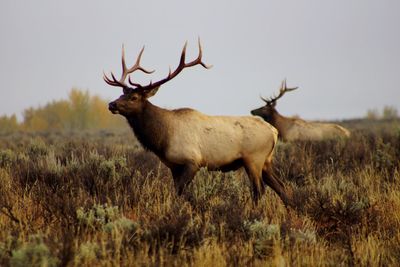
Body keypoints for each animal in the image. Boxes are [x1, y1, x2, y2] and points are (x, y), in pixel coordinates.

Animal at [103, 40, 290, 206]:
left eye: (134, 97)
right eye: (121, 94)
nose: (112, 104)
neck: (162, 139)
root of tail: (274, 131)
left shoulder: (192, 161)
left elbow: (179, 191)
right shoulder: (174, 166)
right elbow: (179, 192)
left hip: (254, 158)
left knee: (259, 190)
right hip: (266, 161)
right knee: (281, 187)